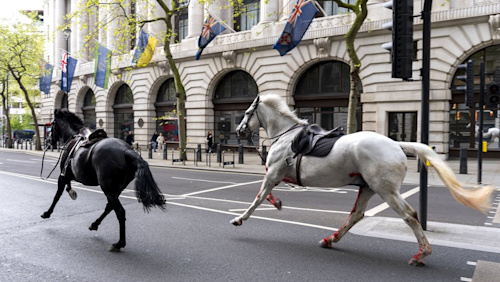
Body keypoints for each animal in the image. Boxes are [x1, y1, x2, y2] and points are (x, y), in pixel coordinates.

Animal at [41, 109, 166, 252]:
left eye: (52, 124)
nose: (48, 140)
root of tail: (127, 150)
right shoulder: (68, 176)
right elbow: (67, 188)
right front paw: (71, 192)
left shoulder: (63, 175)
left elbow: (57, 195)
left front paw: (47, 213)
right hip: (116, 188)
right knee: (110, 206)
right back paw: (95, 224)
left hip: (108, 188)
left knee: (120, 211)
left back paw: (119, 243)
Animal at [233, 94, 492, 266]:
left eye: (246, 113)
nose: (238, 131)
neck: (286, 136)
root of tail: (397, 145)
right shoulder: (277, 175)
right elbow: (266, 195)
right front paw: (276, 203)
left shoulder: (273, 173)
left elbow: (258, 197)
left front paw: (240, 218)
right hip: (368, 187)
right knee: (356, 215)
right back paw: (330, 239)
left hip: (385, 190)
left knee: (409, 215)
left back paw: (422, 253)